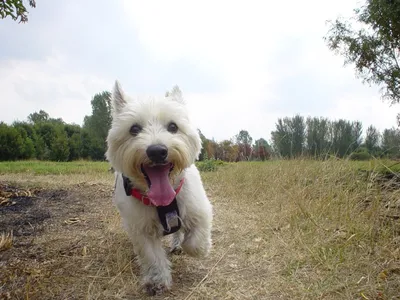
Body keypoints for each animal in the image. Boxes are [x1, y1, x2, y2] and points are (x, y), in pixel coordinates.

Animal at [105, 81, 212, 296]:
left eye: (173, 126)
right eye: (134, 129)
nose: (156, 151)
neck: (164, 200)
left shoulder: (200, 209)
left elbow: (195, 241)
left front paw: (195, 248)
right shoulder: (140, 228)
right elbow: (152, 256)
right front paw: (158, 282)